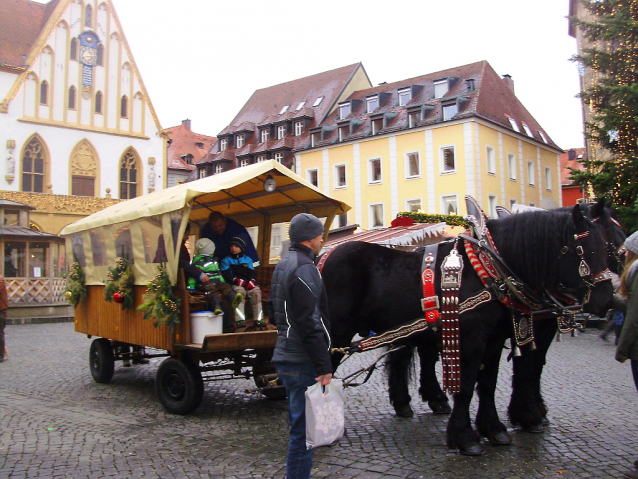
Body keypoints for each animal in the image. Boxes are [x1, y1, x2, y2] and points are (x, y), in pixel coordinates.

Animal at [324, 204, 616, 456]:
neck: (488, 270)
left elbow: (489, 382)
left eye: (605, 245)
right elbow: (468, 384)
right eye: (581, 249)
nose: (606, 300)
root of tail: (324, 257)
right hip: (336, 333)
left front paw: (495, 428)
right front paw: (466, 436)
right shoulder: (473, 339)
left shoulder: (496, 339)